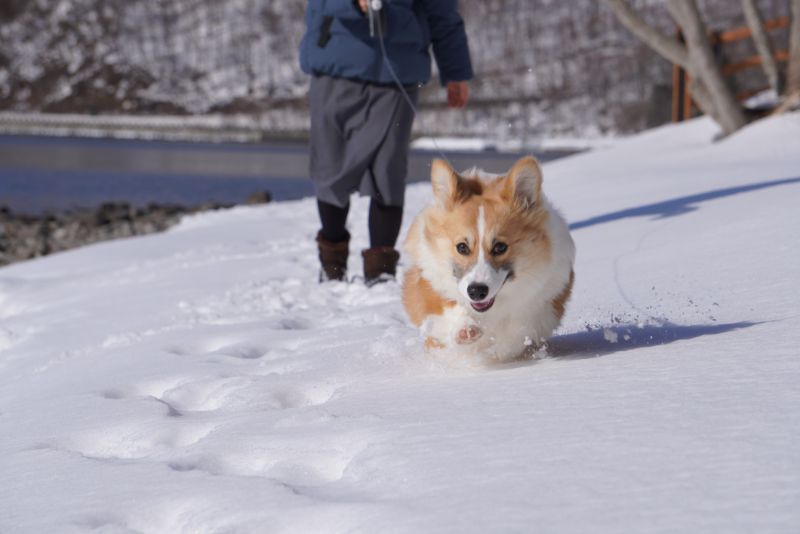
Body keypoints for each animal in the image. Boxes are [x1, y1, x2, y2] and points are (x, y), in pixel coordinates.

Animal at [404, 157, 572, 362]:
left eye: (500, 247)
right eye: (462, 247)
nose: (476, 291)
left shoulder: (548, 297)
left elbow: (520, 324)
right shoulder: (428, 283)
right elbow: (446, 307)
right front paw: (466, 329)